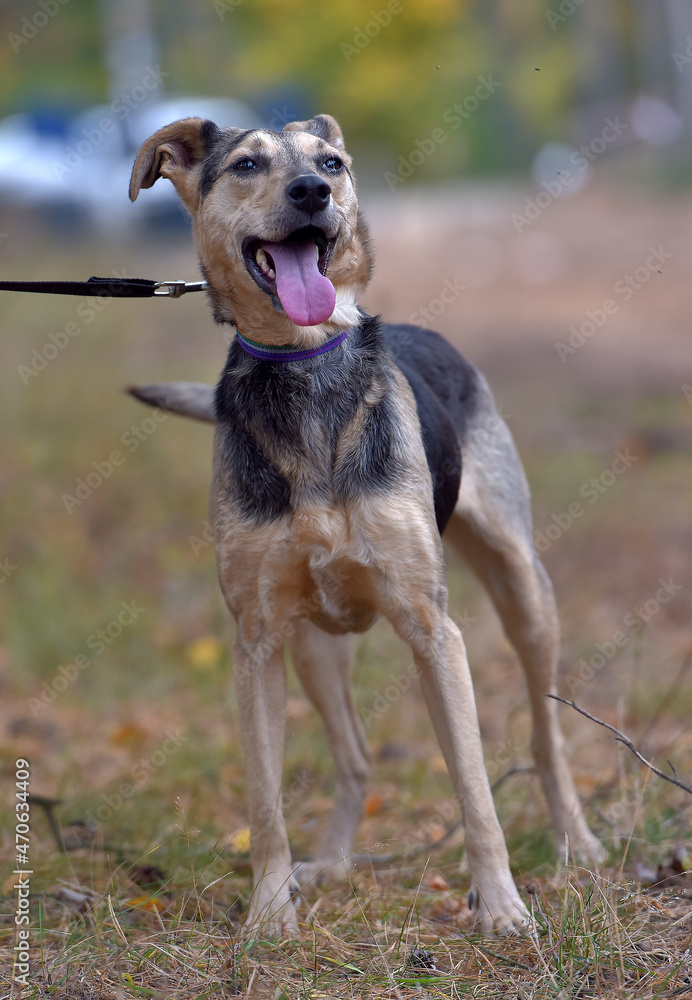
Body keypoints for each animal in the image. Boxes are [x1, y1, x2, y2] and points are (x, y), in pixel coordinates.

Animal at [127, 113, 604, 932]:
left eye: (332, 164)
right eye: (247, 164)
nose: (312, 192)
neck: (305, 368)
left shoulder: (434, 632)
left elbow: (476, 792)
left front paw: (501, 909)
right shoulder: (257, 640)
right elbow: (266, 803)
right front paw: (268, 919)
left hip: (524, 592)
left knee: (547, 740)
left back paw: (575, 843)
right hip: (316, 646)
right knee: (354, 758)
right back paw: (333, 865)